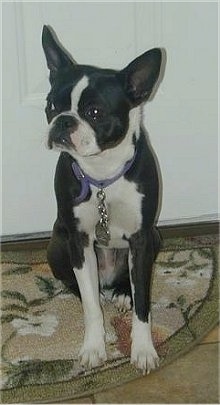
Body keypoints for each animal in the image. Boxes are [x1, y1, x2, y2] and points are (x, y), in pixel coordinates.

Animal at [42, 25, 162, 372]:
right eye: (51, 105)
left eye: (95, 113)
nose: (63, 120)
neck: (102, 174)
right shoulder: (78, 240)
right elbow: (91, 307)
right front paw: (95, 345)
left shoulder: (142, 239)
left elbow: (143, 304)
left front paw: (143, 350)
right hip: (57, 243)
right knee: (85, 289)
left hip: (156, 237)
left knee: (127, 284)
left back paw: (121, 293)